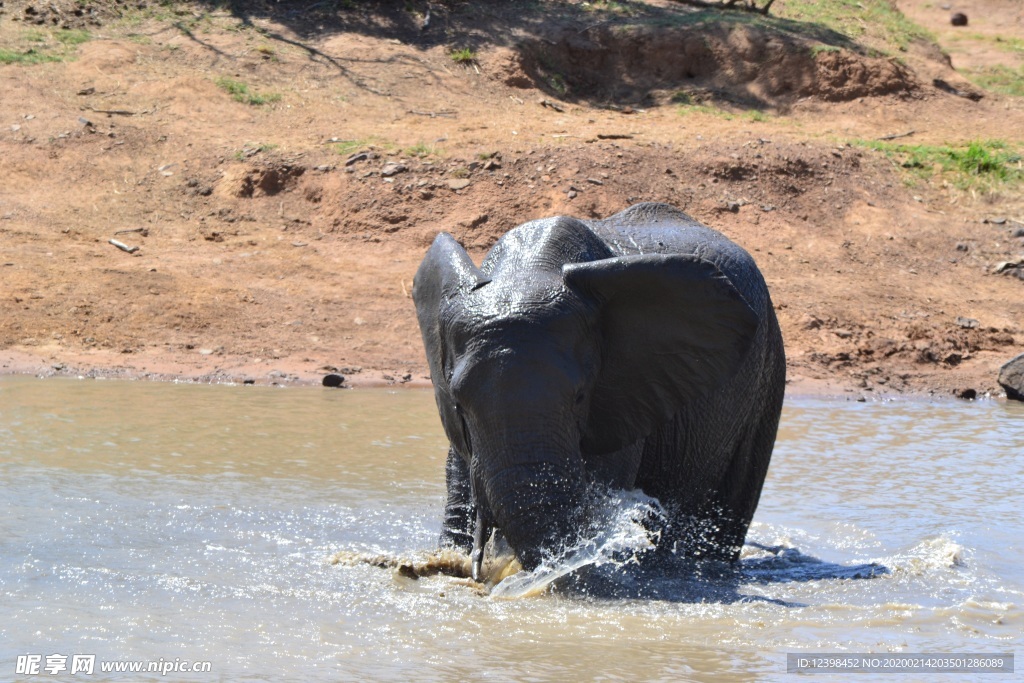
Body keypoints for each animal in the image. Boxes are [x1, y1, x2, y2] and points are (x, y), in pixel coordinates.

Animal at [411, 200, 786, 581]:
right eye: (458, 405)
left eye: (580, 397)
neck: (530, 270)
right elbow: (459, 474)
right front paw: (445, 562)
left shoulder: (621, 394)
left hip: (768, 365)